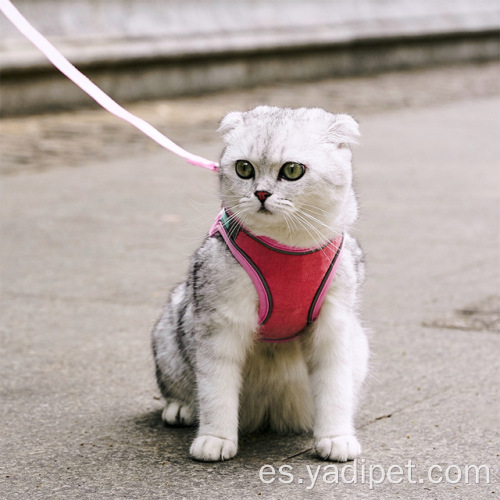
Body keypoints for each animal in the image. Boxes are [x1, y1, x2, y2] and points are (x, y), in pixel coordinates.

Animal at [150, 107, 370, 462]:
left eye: (292, 170)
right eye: (244, 168)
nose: (261, 194)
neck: (288, 246)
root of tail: (268, 412)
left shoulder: (334, 325)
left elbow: (335, 387)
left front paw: (336, 437)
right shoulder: (220, 322)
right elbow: (216, 391)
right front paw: (215, 438)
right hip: (171, 327)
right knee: (181, 388)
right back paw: (181, 408)